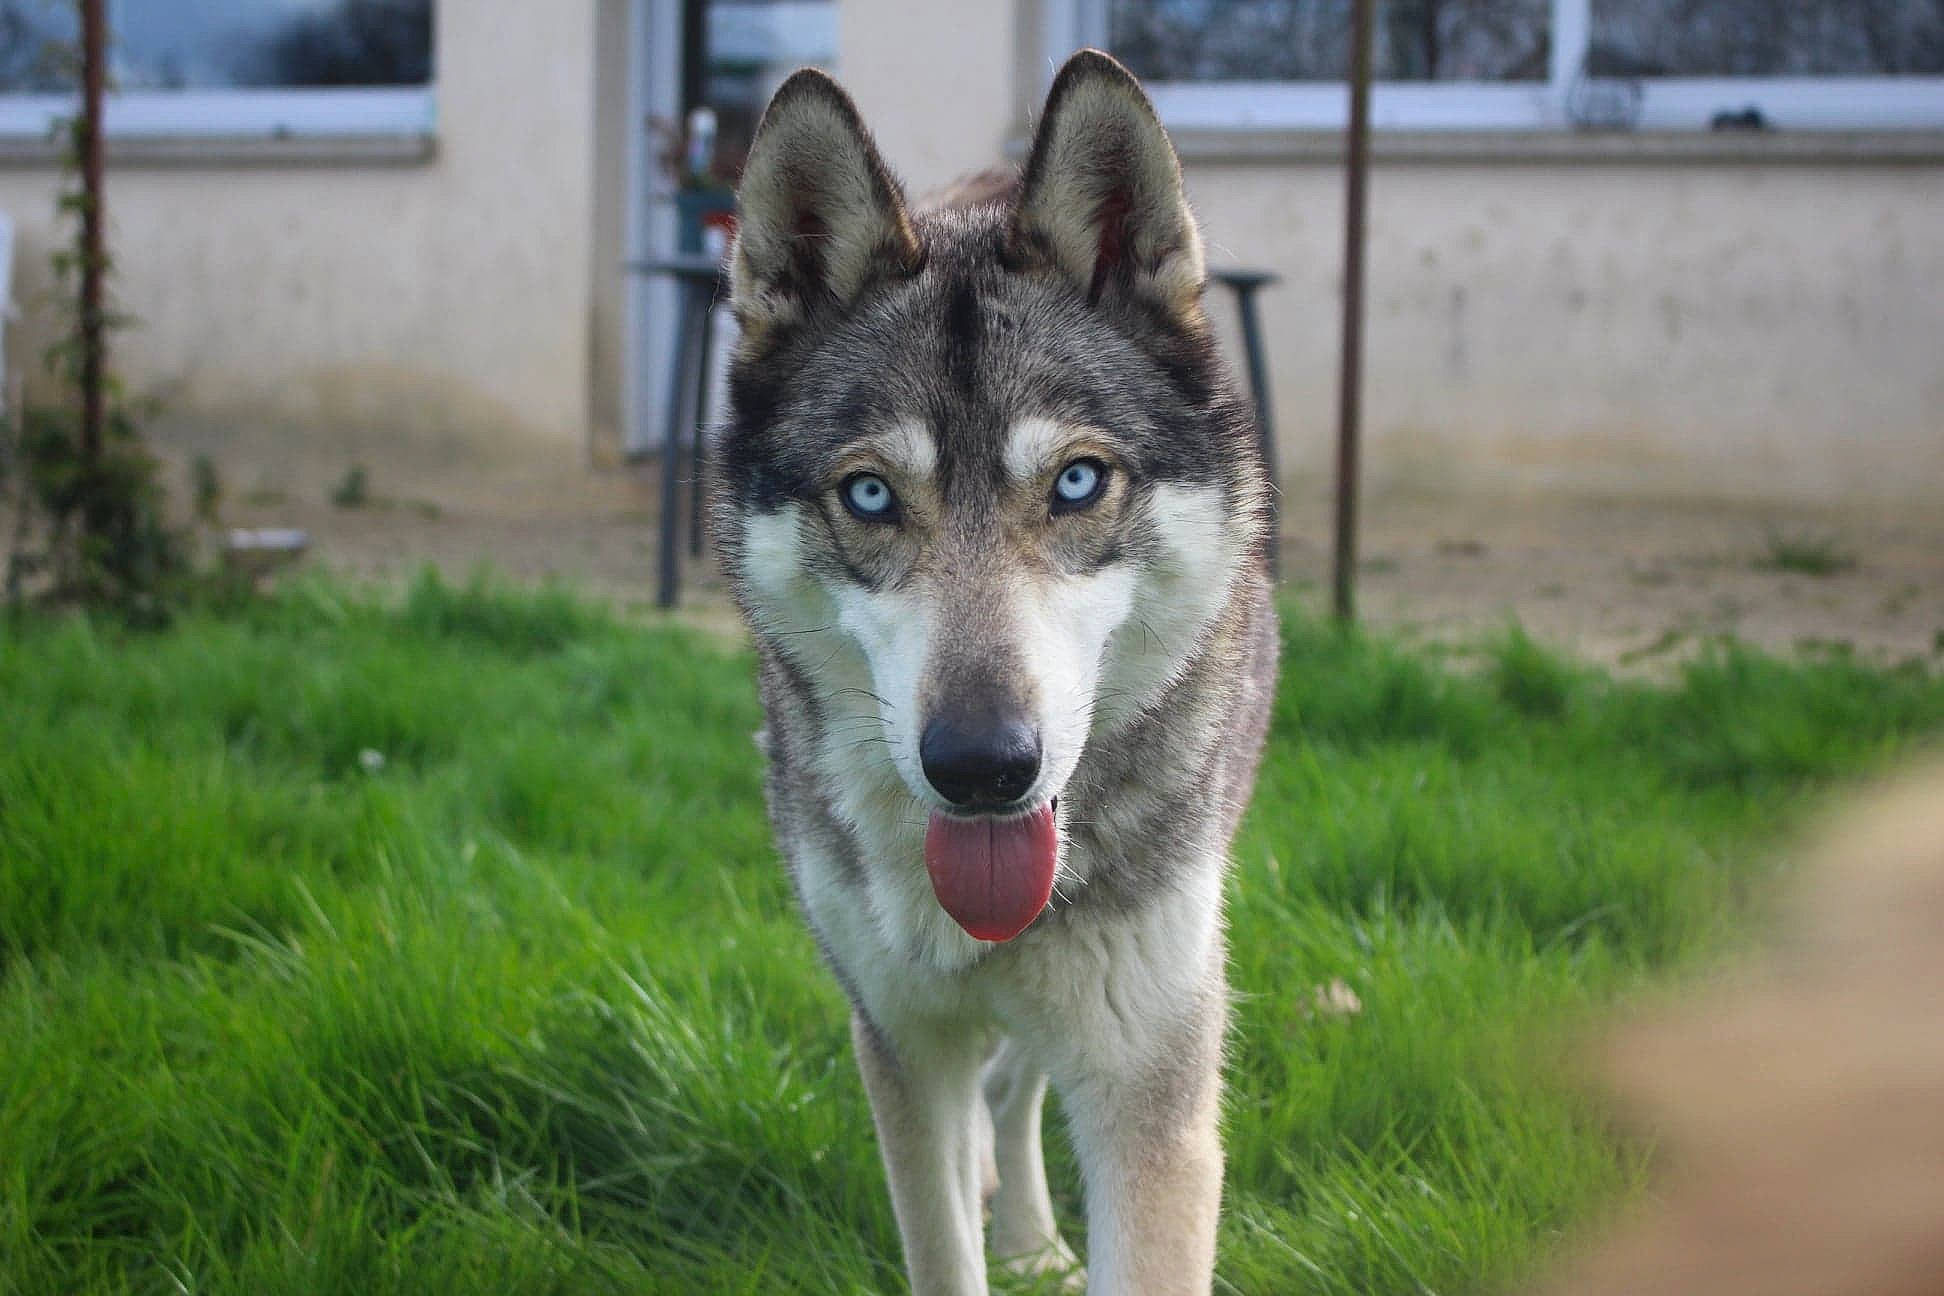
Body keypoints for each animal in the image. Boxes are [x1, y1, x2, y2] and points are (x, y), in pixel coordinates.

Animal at [710, 49, 1278, 1295]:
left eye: (1076, 483)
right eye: (871, 494)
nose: (980, 768)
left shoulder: (1149, 1085)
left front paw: (1022, 1233)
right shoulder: (897, 1043)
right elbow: (937, 1234)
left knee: (1017, 1088)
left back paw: (1026, 1232)